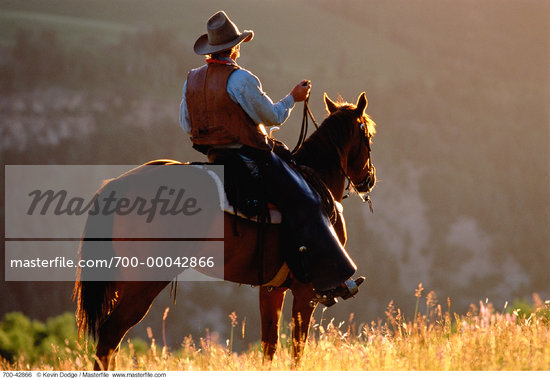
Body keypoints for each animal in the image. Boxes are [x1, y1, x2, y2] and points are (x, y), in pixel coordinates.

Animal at [74, 91, 376, 370]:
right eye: (369, 136)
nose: (369, 178)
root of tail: (117, 185)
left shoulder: (271, 289)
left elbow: (269, 346)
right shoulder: (306, 292)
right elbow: (297, 350)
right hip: (144, 281)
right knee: (111, 336)